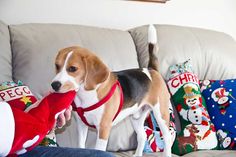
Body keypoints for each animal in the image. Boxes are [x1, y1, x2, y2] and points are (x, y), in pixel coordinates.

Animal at [51, 25, 172, 156]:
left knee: (167, 137)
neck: (86, 94)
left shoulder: (103, 129)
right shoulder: (82, 126)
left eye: (73, 68)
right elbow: (81, 145)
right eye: (57, 66)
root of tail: (151, 70)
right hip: (136, 117)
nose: (54, 85)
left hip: (161, 114)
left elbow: (98, 149)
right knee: (142, 136)